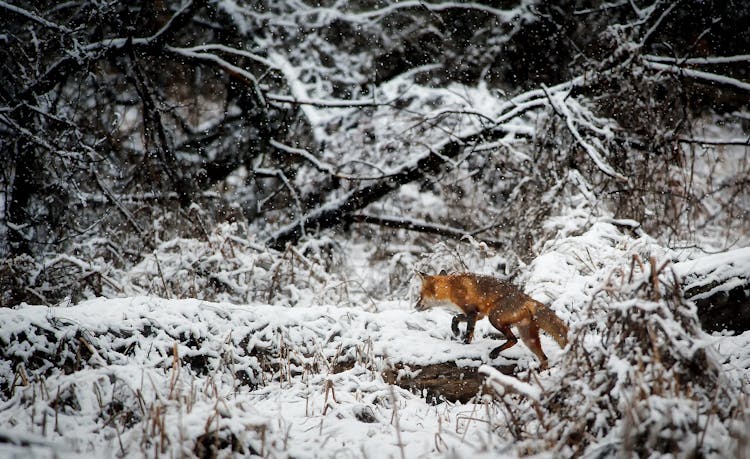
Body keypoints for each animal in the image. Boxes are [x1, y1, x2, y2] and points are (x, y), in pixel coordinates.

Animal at [418, 272, 568, 368]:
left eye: (420, 295)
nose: (415, 305)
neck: (451, 287)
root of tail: (527, 298)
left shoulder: (472, 312)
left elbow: (468, 330)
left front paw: (465, 344)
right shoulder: (478, 315)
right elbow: (456, 318)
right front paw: (456, 331)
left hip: (494, 318)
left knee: (513, 339)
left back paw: (495, 352)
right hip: (528, 338)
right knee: (544, 358)